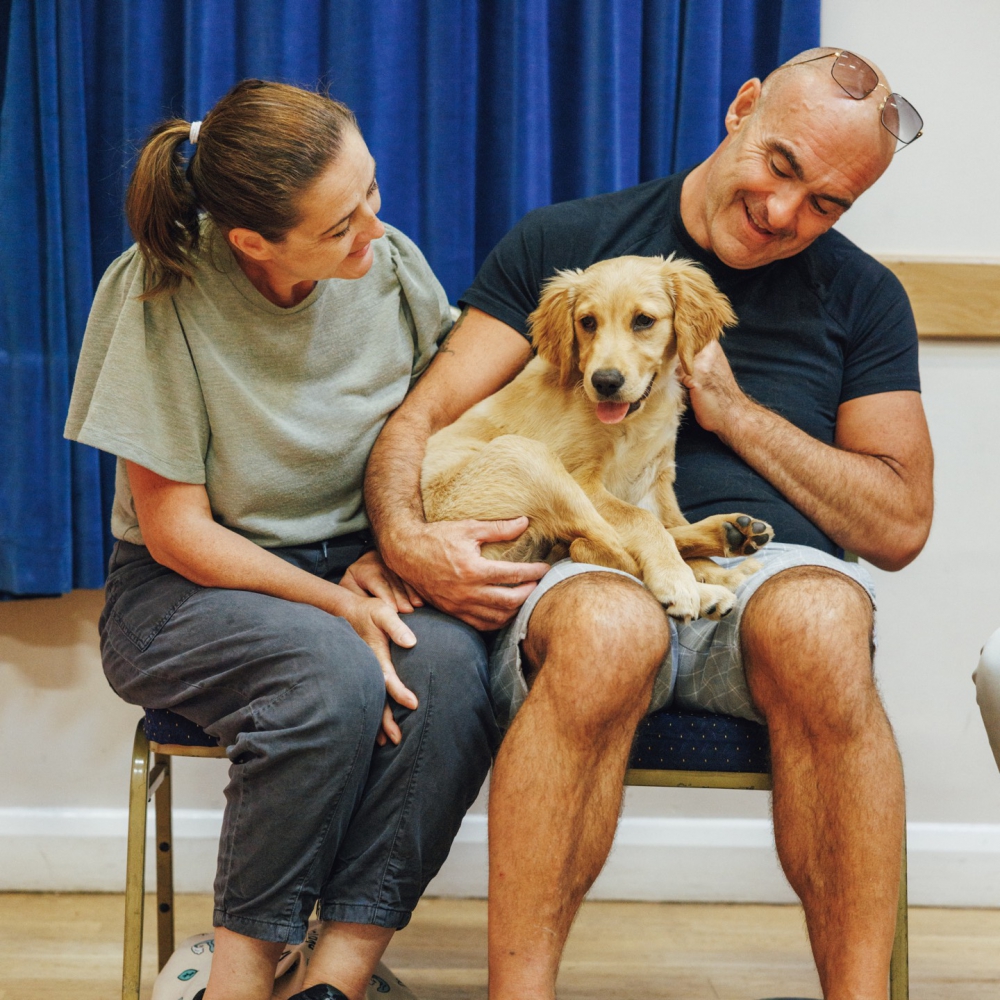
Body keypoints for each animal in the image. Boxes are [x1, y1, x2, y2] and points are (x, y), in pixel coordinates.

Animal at [420, 254, 772, 620]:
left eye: (644, 320)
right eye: (587, 322)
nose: (605, 382)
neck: (639, 415)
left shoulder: (654, 479)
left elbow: (664, 521)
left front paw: (709, 567)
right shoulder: (583, 479)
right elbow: (643, 522)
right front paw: (677, 579)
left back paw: (732, 540)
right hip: (531, 460)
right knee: (605, 550)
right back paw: (701, 587)